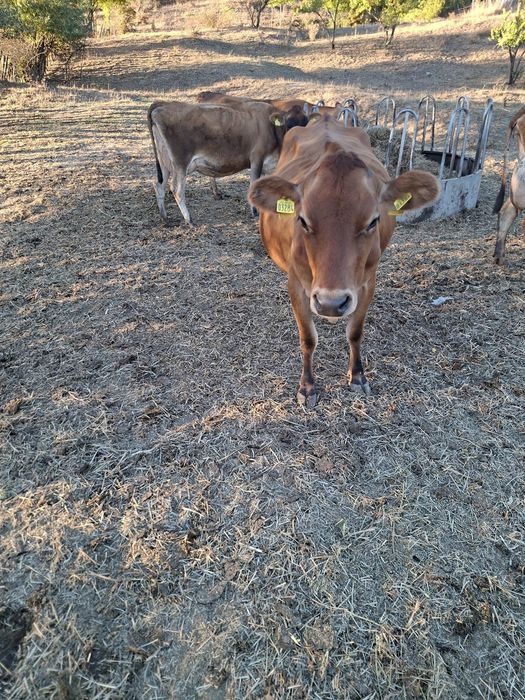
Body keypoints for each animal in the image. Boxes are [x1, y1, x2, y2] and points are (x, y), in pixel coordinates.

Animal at [147, 100, 305, 224]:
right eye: (288, 123)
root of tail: (162, 106)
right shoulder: (256, 158)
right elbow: (253, 183)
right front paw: (254, 211)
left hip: (165, 163)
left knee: (159, 185)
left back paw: (164, 217)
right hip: (180, 162)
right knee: (177, 190)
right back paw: (189, 219)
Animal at [248, 115, 440, 407]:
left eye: (373, 221)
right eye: (303, 220)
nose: (331, 302)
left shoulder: (367, 282)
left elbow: (355, 331)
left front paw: (358, 375)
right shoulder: (296, 283)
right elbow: (308, 338)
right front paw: (307, 386)